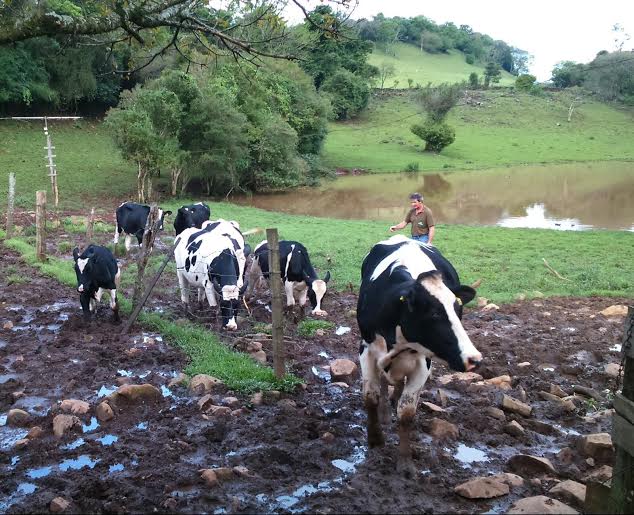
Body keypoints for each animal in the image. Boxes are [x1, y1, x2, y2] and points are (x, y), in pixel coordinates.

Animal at [356, 236, 478, 478]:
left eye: (458, 310)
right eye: (434, 313)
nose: (474, 359)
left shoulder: (423, 363)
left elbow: (406, 412)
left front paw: (405, 462)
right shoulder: (366, 350)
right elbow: (371, 397)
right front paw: (375, 439)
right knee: (384, 382)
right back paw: (385, 412)